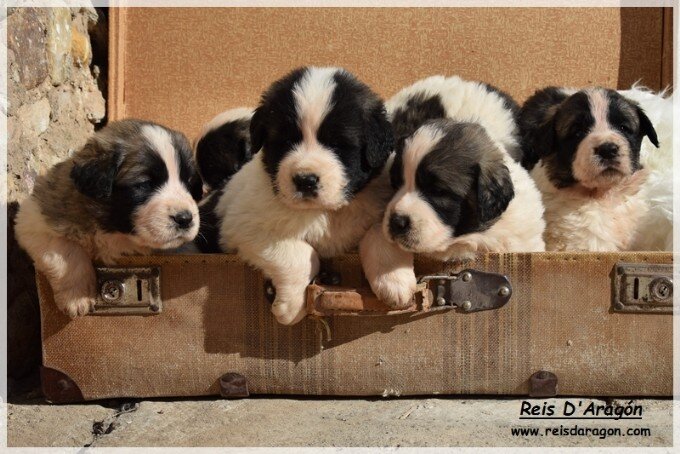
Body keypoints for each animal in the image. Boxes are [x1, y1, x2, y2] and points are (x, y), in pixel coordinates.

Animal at [15, 119, 202, 316]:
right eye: (145, 184)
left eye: (189, 183)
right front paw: (77, 297)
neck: (118, 234)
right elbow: (65, 252)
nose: (185, 219)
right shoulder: (33, 218)